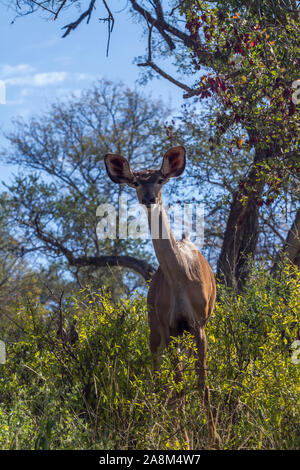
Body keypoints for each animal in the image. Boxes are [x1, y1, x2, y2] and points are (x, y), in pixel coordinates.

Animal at [105, 145, 218, 446]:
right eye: (135, 181)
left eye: (159, 179)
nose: (148, 197)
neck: (179, 277)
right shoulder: (169, 327)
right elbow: (178, 387)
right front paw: (185, 440)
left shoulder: (198, 324)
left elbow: (202, 383)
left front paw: (215, 438)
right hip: (155, 331)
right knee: (158, 377)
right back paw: (161, 426)